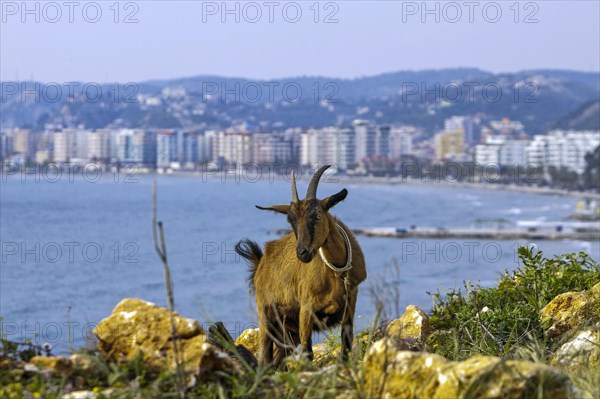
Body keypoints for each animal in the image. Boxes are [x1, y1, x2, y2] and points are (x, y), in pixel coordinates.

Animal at [237, 164, 368, 368]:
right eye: (290, 220)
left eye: (318, 215)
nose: (302, 253)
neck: (336, 272)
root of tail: (261, 261)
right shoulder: (306, 308)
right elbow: (308, 352)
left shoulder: (351, 300)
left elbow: (346, 343)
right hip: (266, 315)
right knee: (265, 359)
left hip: (289, 332)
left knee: (279, 358)